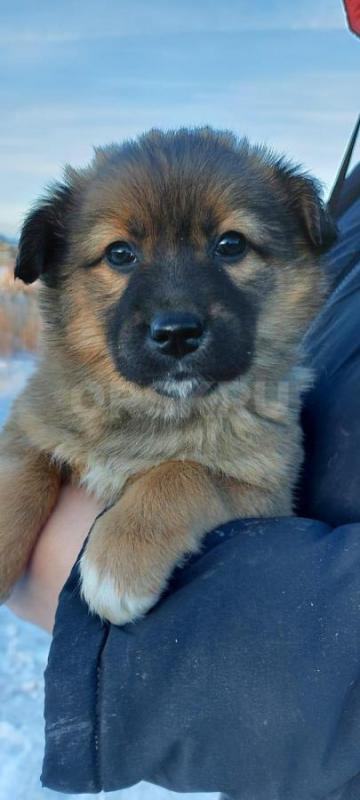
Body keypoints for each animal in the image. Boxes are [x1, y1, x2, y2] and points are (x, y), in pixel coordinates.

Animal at [0, 128, 338, 624]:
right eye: (120, 254)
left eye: (231, 245)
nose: (177, 334)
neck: (150, 409)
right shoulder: (31, 421)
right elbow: (20, 472)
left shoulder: (267, 488)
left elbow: (184, 471)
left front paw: (120, 558)